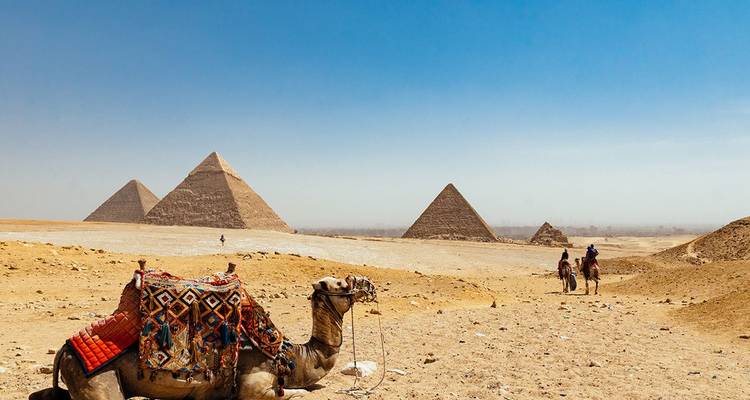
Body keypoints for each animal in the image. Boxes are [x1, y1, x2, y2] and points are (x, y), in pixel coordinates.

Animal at [29, 274, 376, 400]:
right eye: (343, 284)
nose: (369, 286)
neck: (290, 356)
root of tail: (65, 348)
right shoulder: (254, 380)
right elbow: (299, 395)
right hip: (99, 381)